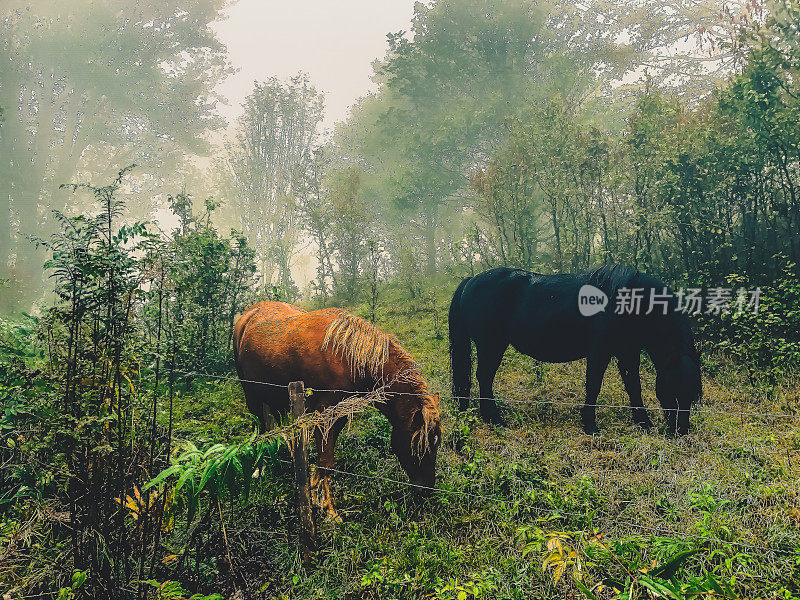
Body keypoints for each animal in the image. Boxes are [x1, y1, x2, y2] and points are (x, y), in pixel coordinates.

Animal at [231, 302, 444, 516]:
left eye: (436, 444)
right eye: (420, 447)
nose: (427, 490)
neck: (347, 356)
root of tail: (249, 314)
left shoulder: (339, 416)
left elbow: (326, 461)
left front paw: (313, 488)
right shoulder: (323, 416)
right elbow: (326, 462)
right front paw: (329, 510)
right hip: (252, 397)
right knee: (261, 429)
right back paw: (259, 469)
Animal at [450, 268, 700, 436]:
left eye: (693, 394)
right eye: (672, 389)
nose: (681, 430)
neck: (626, 300)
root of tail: (471, 280)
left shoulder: (628, 351)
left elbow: (633, 387)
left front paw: (643, 422)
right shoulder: (600, 350)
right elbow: (594, 384)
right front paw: (590, 424)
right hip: (490, 345)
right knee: (484, 377)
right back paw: (494, 418)